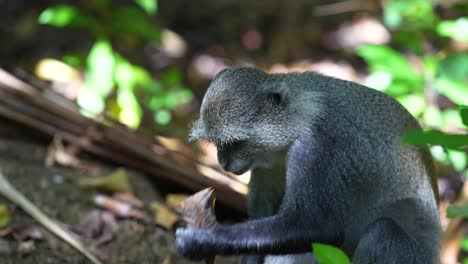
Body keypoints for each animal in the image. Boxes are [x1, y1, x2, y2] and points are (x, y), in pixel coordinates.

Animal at [176, 67, 442, 262]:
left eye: (235, 143)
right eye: (217, 144)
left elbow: (320, 226)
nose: (223, 162)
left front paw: (202, 240)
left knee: (383, 232)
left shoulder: (318, 146)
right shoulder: (265, 166)